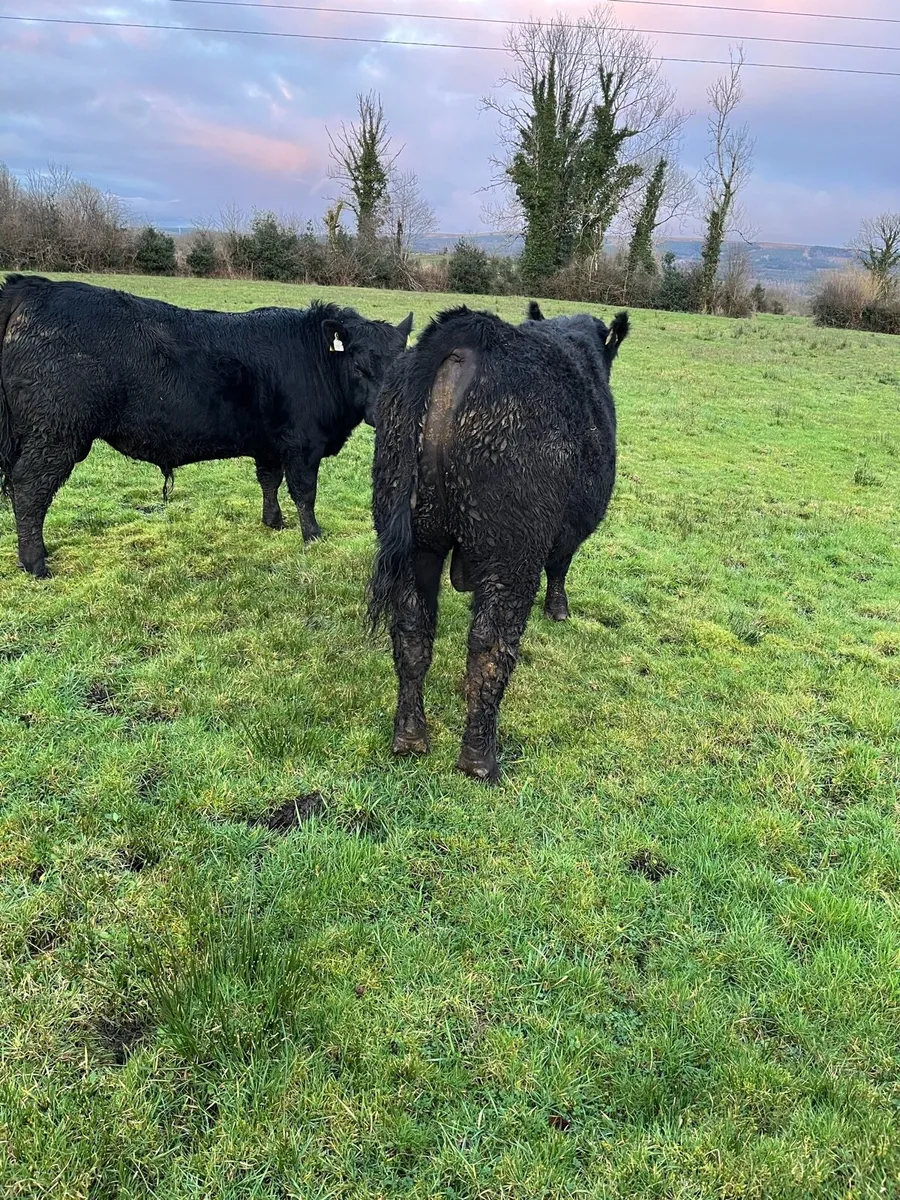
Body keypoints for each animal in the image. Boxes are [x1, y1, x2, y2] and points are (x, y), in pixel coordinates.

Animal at [0, 273, 412, 577]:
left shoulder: (270, 443)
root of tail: (36, 286)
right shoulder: (303, 443)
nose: (388, 411)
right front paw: (312, 536)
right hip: (57, 434)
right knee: (30, 489)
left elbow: (269, 481)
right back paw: (35, 563)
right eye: (359, 365)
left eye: (404, 363)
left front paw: (274, 522)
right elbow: (304, 492)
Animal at [368, 301, 629, 784]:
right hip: (512, 552)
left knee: (412, 631)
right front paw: (559, 610)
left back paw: (410, 738)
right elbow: (561, 566)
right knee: (489, 644)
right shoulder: (569, 531)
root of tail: (471, 334)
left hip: (415, 539)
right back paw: (479, 760)